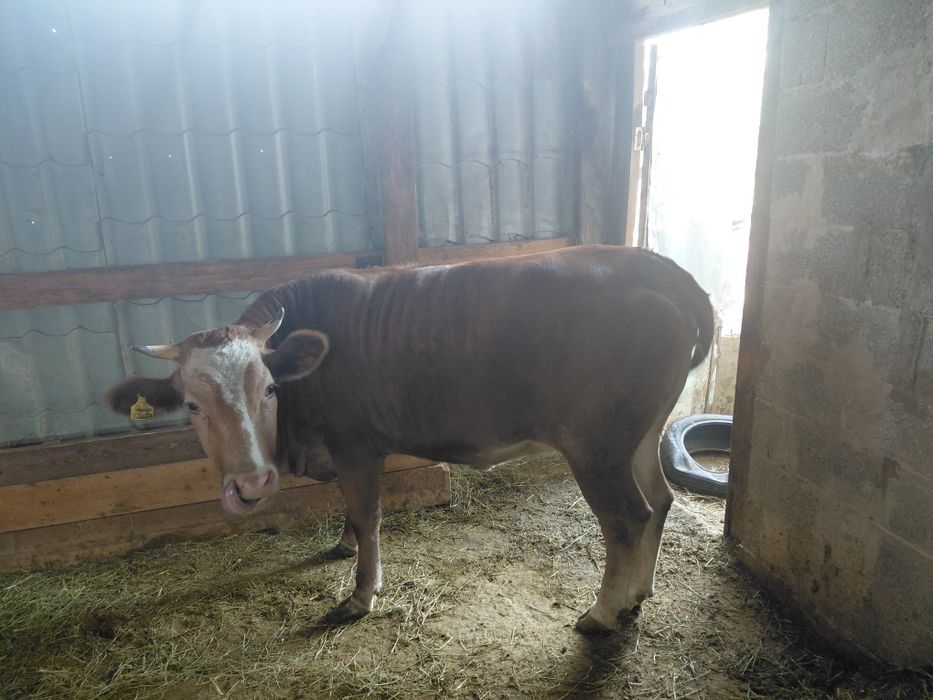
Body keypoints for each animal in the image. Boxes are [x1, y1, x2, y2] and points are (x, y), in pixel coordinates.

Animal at [107, 245, 713, 633]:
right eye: (192, 404)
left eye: (271, 388)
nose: (251, 483)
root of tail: (657, 266)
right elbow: (351, 515)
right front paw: (344, 545)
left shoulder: (357, 445)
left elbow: (368, 513)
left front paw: (360, 593)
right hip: (640, 435)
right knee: (661, 500)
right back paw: (640, 593)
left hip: (597, 447)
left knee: (627, 518)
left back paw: (604, 612)